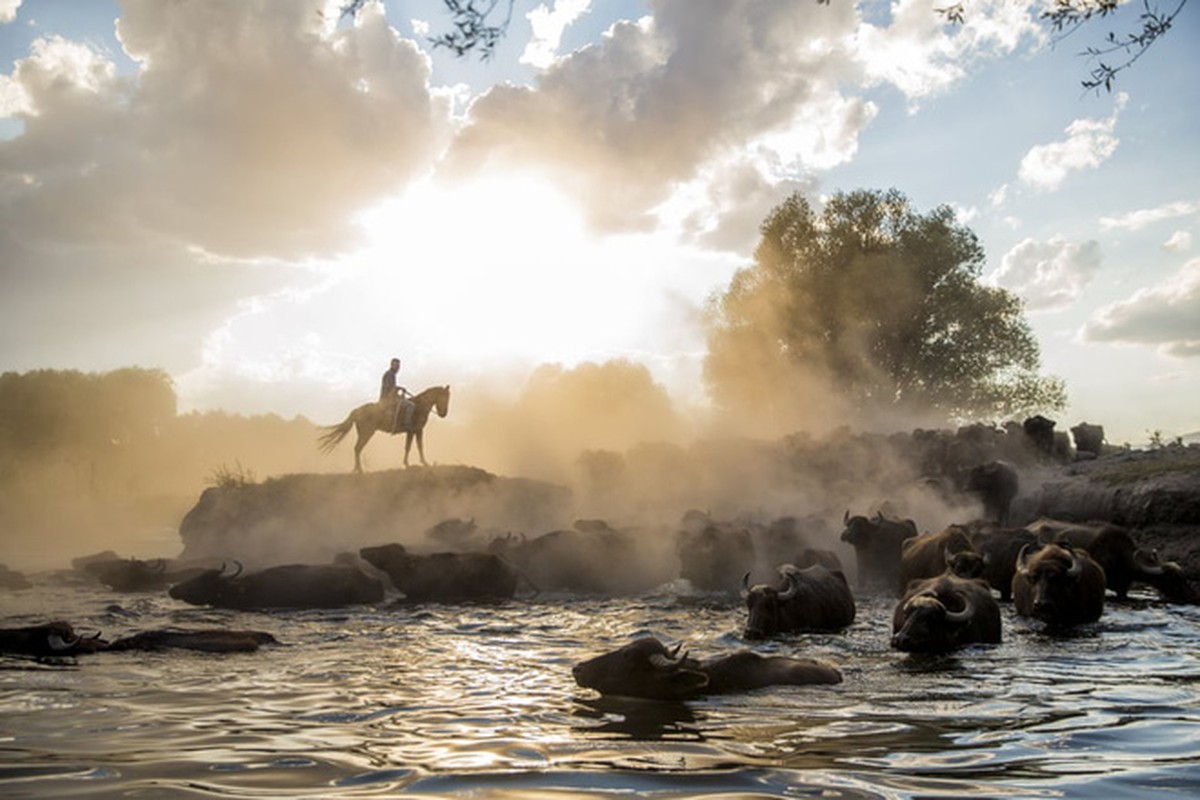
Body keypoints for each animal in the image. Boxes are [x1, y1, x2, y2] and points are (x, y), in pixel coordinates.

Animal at [319, 383, 451, 472]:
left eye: (449, 398)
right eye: (444, 397)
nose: (443, 414)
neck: (419, 406)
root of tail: (357, 410)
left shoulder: (414, 431)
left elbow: (413, 446)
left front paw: (413, 463)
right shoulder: (415, 430)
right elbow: (415, 446)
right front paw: (420, 463)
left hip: (363, 433)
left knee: (357, 448)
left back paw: (357, 469)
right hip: (367, 433)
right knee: (357, 448)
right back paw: (360, 470)